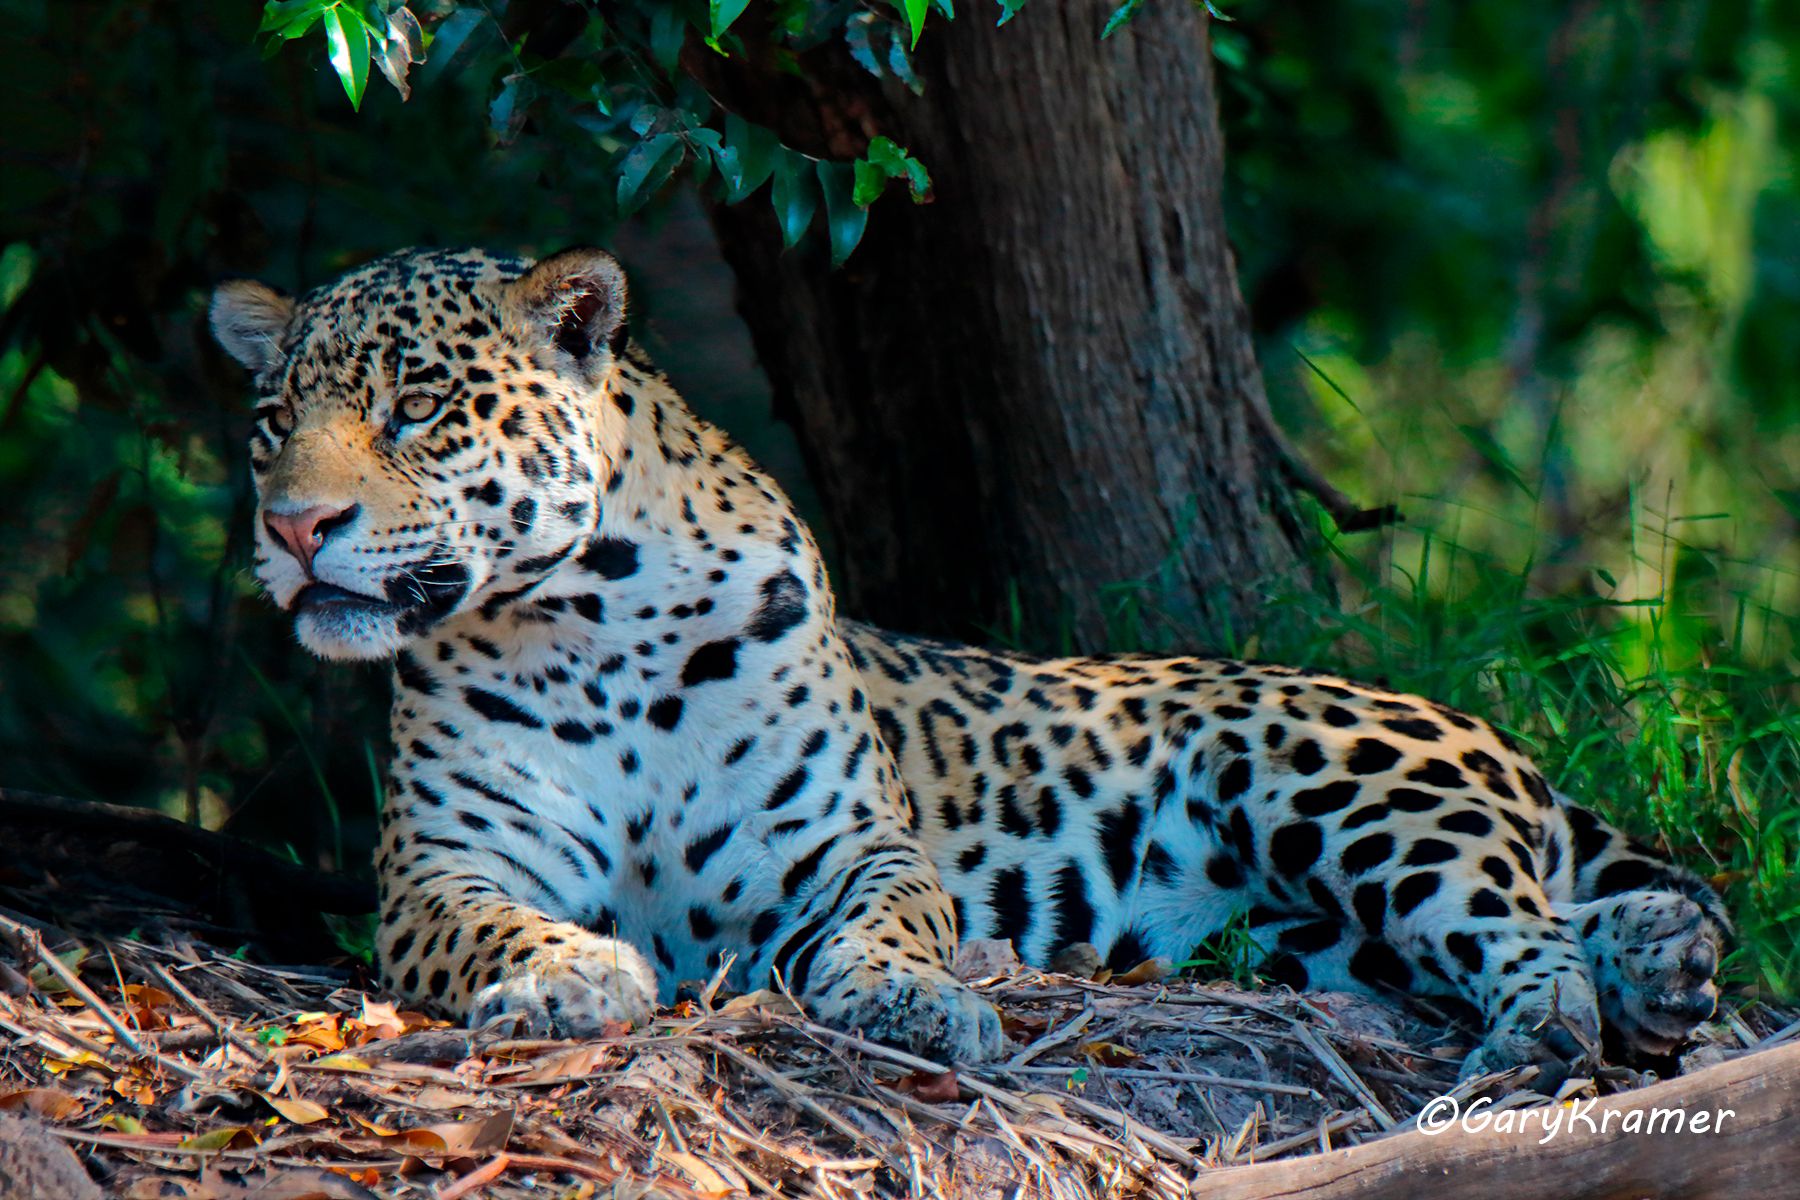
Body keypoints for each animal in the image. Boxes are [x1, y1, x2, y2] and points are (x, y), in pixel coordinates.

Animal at [210, 246, 1728, 1079]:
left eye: (418, 409)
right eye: (273, 420)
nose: (292, 527)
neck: (589, 630)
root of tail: (1476, 733)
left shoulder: (849, 846)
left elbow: (895, 919)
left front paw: (913, 1002)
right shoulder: (441, 874)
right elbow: (505, 925)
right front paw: (569, 980)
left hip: (1337, 787)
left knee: (1518, 924)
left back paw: (1557, 1027)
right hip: (1304, 933)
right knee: (1507, 925)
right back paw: (1659, 966)